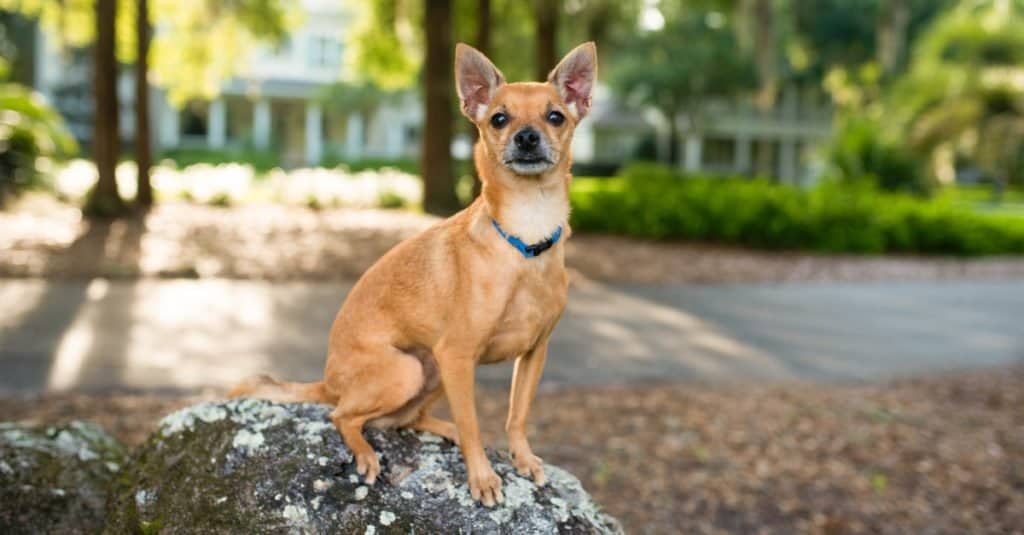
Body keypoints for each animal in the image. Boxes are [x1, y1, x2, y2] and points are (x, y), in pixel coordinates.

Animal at [230, 40, 598, 504]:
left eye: (555, 117)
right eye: (499, 118)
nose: (527, 136)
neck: (524, 235)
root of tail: (327, 380)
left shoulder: (533, 354)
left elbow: (517, 414)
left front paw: (523, 457)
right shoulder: (458, 355)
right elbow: (475, 424)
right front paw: (482, 478)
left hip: (432, 368)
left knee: (403, 419)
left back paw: (443, 429)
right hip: (410, 370)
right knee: (343, 415)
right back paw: (367, 452)